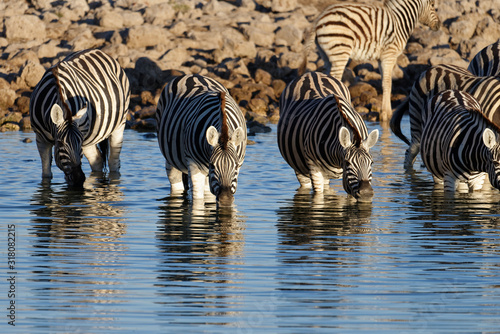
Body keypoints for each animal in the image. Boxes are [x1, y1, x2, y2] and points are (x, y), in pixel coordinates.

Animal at [29, 48, 131, 187]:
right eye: (60, 143)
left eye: (80, 141)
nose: (78, 179)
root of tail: (99, 51)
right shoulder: (40, 139)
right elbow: (46, 175)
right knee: (97, 160)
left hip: (119, 124)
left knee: (113, 162)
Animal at [155, 74, 247, 206]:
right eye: (213, 165)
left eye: (235, 166)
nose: (225, 200)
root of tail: (192, 75)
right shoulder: (194, 164)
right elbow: (197, 200)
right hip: (171, 159)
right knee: (175, 183)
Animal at [278, 72, 378, 202]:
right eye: (347, 163)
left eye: (372, 162)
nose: (366, 194)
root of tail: (312, 73)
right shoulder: (314, 168)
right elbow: (318, 198)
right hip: (300, 169)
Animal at [298, 0, 440, 121]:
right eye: (433, 5)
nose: (439, 25)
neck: (399, 21)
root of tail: (319, 19)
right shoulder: (389, 55)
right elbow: (388, 83)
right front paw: (386, 114)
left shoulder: (381, 58)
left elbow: (384, 83)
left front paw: (386, 112)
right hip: (340, 51)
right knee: (334, 78)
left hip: (326, 55)